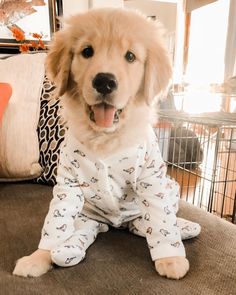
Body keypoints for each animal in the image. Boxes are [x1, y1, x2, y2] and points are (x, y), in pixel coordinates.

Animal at [12, 6, 197, 280]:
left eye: (130, 56)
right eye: (87, 51)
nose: (104, 81)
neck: (106, 135)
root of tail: (117, 224)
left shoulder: (151, 178)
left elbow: (159, 217)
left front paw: (171, 258)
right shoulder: (67, 182)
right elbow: (56, 220)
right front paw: (39, 256)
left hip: (168, 188)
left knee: (152, 217)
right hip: (87, 215)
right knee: (81, 226)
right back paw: (67, 249)